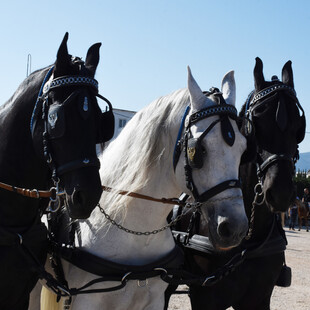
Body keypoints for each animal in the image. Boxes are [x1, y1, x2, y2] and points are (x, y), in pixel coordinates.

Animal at [38, 66, 248, 308]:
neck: (135, 232)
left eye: (244, 148)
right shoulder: (86, 301)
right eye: (198, 150)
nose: (235, 227)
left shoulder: (155, 299)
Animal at [166, 57, 306, 308]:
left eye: (299, 126)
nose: (280, 191)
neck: (248, 242)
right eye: (256, 121)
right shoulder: (206, 299)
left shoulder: (259, 298)